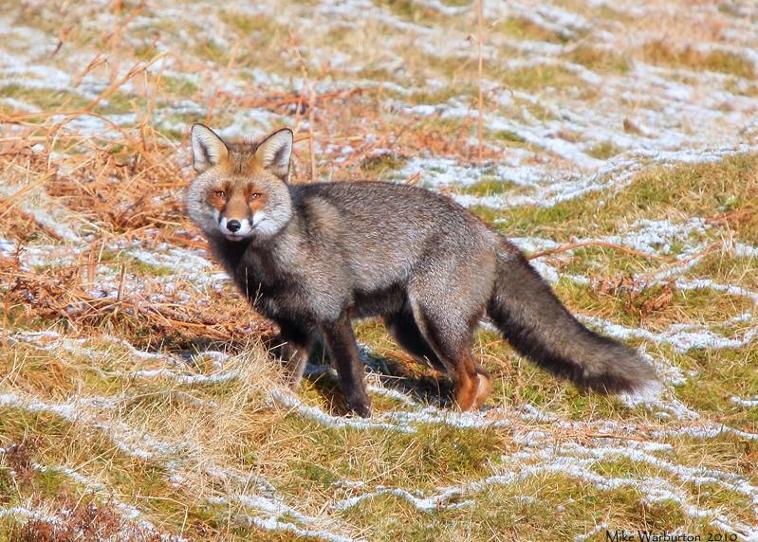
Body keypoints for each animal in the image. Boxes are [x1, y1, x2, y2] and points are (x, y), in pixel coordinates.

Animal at [186, 124, 657, 417]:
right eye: (221, 193)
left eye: (255, 196)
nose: (233, 225)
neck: (269, 260)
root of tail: (487, 230)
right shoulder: (295, 325)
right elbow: (289, 377)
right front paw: (285, 404)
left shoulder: (333, 314)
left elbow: (352, 378)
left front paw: (360, 419)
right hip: (414, 334)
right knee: (481, 377)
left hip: (436, 323)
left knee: (474, 378)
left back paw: (450, 423)